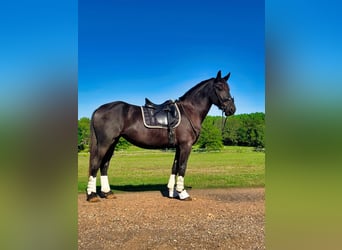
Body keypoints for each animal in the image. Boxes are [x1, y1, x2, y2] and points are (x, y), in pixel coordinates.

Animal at [86, 70, 235, 201]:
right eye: (219, 87)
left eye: (229, 87)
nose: (232, 109)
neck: (189, 111)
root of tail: (98, 109)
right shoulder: (186, 146)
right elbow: (182, 167)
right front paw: (183, 193)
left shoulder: (178, 147)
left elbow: (175, 167)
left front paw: (172, 192)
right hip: (105, 143)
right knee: (95, 163)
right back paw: (92, 195)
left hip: (113, 142)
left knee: (104, 165)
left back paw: (107, 193)